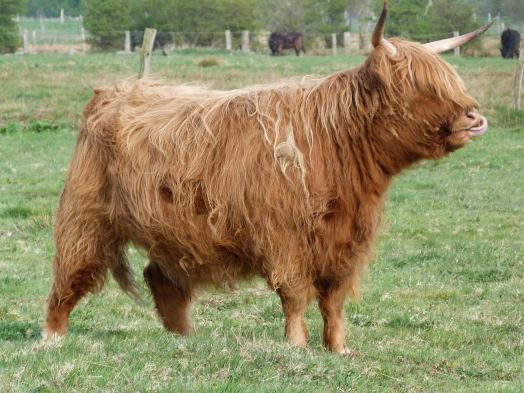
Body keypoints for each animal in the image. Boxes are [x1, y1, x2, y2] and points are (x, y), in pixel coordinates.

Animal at [43, 1, 494, 354]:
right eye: (420, 85)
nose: (474, 117)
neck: (337, 147)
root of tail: (115, 90)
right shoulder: (284, 238)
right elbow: (294, 295)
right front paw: (296, 345)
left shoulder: (346, 245)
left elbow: (333, 301)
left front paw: (339, 348)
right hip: (85, 215)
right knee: (70, 274)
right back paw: (52, 336)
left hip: (171, 230)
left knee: (162, 277)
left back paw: (185, 336)